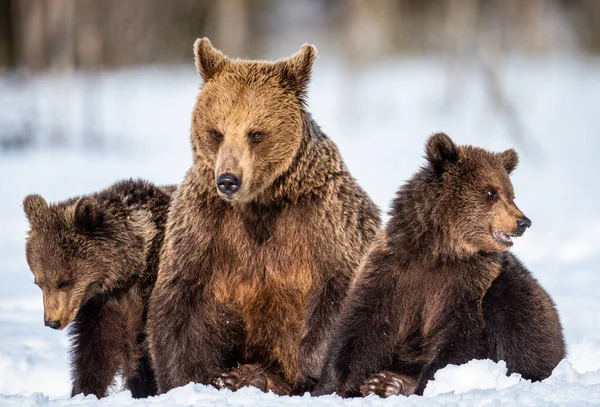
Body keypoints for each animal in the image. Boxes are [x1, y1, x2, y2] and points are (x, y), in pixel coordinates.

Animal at [24, 180, 175, 400]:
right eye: (39, 283)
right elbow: (96, 350)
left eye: (64, 282)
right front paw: (84, 392)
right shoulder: (101, 305)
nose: (52, 321)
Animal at [146, 38, 380, 396]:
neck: (260, 204)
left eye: (256, 133)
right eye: (216, 131)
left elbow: (342, 289)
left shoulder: (324, 219)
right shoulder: (204, 225)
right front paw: (188, 378)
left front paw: (313, 371)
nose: (228, 180)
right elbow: (181, 302)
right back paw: (247, 376)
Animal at [314, 134, 568, 398]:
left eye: (510, 193)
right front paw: (331, 387)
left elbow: (458, 338)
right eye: (491, 192)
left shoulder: (465, 284)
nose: (523, 222)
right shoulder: (390, 272)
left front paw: (424, 385)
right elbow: (361, 329)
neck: (439, 251)